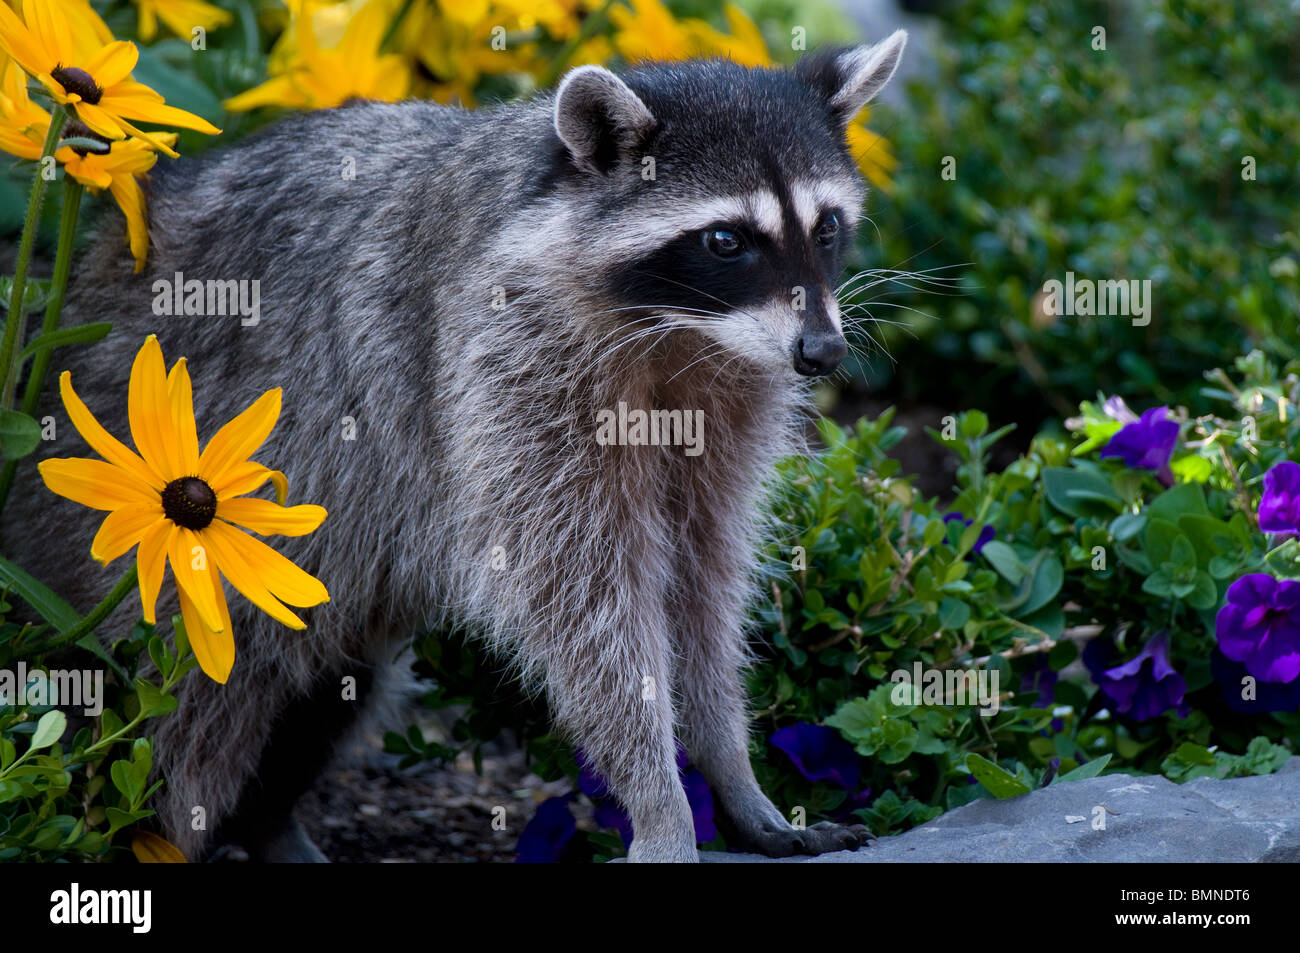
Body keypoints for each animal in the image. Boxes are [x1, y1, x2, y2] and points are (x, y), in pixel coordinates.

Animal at [5, 31, 907, 862]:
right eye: (726, 240)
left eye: (828, 226)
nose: (823, 353)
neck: (679, 328)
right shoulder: (509, 366)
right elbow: (584, 604)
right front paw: (661, 803)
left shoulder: (724, 393)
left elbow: (703, 584)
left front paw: (730, 764)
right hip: (133, 522)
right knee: (182, 696)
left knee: (325, 673)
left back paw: (268, 823)